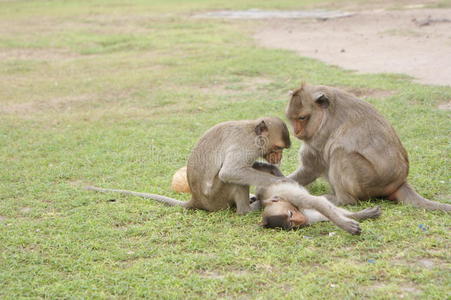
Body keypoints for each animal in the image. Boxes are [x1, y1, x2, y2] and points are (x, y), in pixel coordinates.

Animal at [87, 116, 294, 214]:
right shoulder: (245, 146)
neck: (253, 132)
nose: (278, 157)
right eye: (278, 148)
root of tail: (196, 199)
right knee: (231, 179)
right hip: (215, 197)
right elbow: (231, 171)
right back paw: (248, 209)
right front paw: (281, 183)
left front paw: (274, 171)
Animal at [252, 163, 384, 233]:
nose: (301, 220)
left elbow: (319, 202)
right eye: (291, 224)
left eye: (290, 214)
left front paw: (347, 224)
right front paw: (359, 216)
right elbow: (323, 214)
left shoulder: (291, 196)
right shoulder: (308, 217)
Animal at [286, 82, 451, 211]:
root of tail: (399, 182)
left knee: (340, 152)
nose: (296, 132)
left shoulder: (320, 136)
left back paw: (341, 199)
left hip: (369, 182)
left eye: (302, 118)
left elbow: (311, 168)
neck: (325, 114)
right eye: (291, 119)